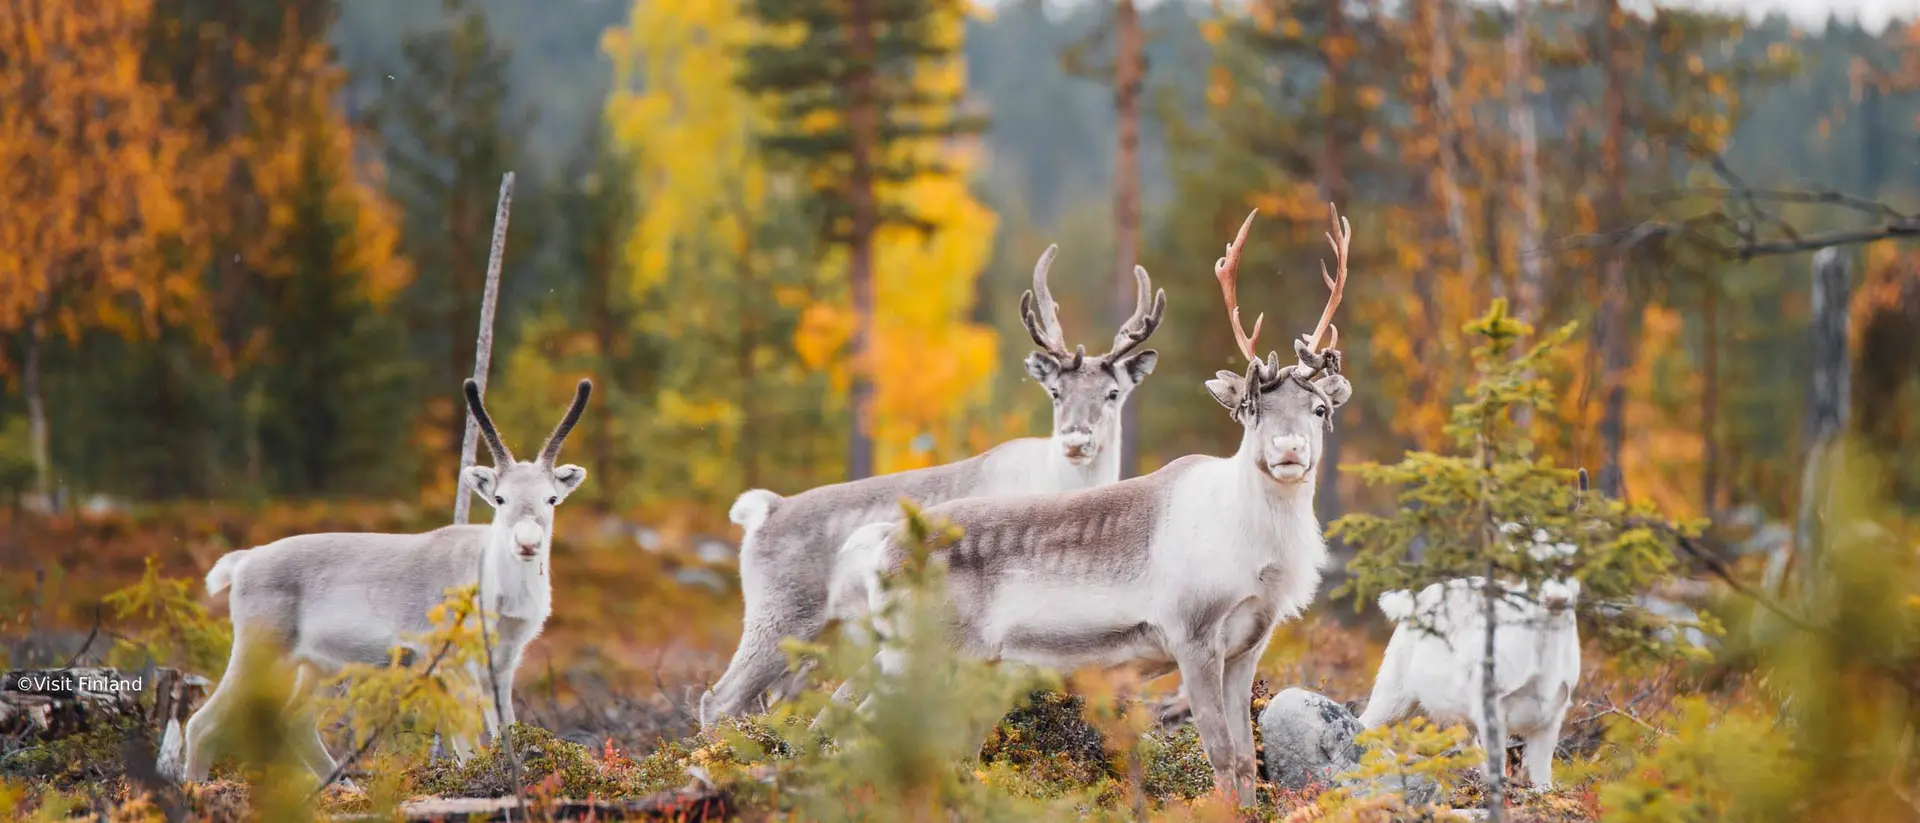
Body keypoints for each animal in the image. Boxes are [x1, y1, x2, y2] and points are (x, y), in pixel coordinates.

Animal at [167, 379, 592, 785]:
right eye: (500, 498)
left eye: (552, 498)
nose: (527, 543)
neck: (498, 593)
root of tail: (242, 562)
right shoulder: (450, 660)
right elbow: (467, 743)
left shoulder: (504, 660)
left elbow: (505, 729)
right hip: (260, 648)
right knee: (202, 724)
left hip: (320, 665)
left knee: (295, 723)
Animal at [698, 246, 1168, 729]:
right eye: (1055, 391)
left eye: (1113, 393)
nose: (1076, 440)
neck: (1057, 480)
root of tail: (764, 510)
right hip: (778, 617)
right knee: (719, 698)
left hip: (821, 638)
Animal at [836, 205, 1356, 805]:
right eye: (1252, 409)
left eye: (1318, 409)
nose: (1289, 450)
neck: (1258, 550)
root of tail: (884, 543)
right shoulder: (1193, 637)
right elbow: (1222, 758)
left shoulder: (1246, 647)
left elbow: (1249, 762)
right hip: (916, 654)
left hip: (975, 671)